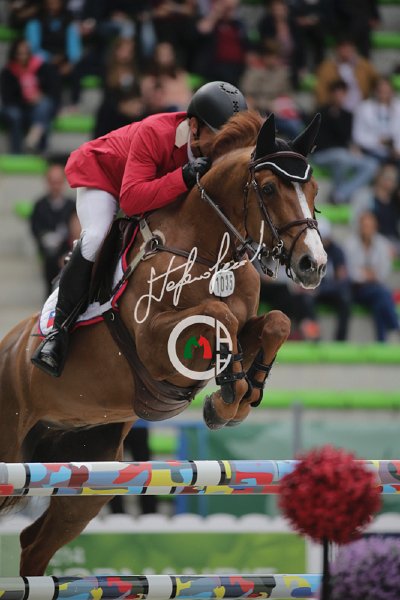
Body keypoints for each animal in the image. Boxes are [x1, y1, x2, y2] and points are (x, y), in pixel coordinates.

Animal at [0, 111, 327, 575]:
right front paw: (228, 396)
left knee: (34, 545)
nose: (313, 264)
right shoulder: (155, 345)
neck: (208, 250)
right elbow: (219, 316)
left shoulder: (249, 323)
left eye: (313, 190)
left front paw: (237, 397)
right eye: (267, 188)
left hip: (91, 471)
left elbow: (275, 322)